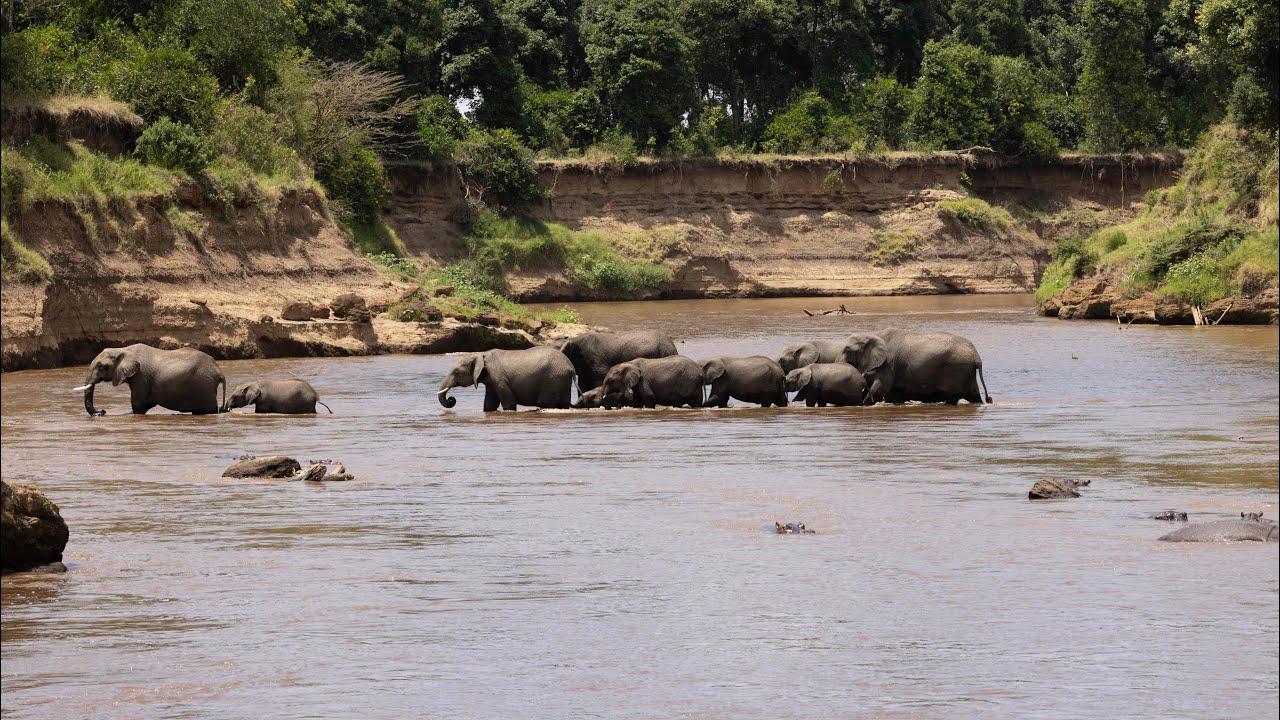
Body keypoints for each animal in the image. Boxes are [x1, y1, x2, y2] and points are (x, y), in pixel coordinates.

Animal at [75, 344, 225, 415]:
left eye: (102, 366)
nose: (102, 411)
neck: (123, 349)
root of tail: (219, 371)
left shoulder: (141, 376)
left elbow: (138, 404)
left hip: (204, 386)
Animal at [438, 347, 575, 411]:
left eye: (456, 372)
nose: (451, 400)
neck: (481, 354)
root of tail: (571, 367)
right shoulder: (491, 381)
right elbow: (489, 404)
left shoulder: (498, 377)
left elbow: (509, 402)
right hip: (562, 380)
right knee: (564, 404)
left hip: (552, 379)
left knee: (545, 403)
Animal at [840, 328, 991, 405]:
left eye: (848, 350)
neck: (874, 335)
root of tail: (976, 357)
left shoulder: (889, 362)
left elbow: (881, 387)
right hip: (967, 372)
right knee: (974, 397)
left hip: (956, 370)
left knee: (952, 398)